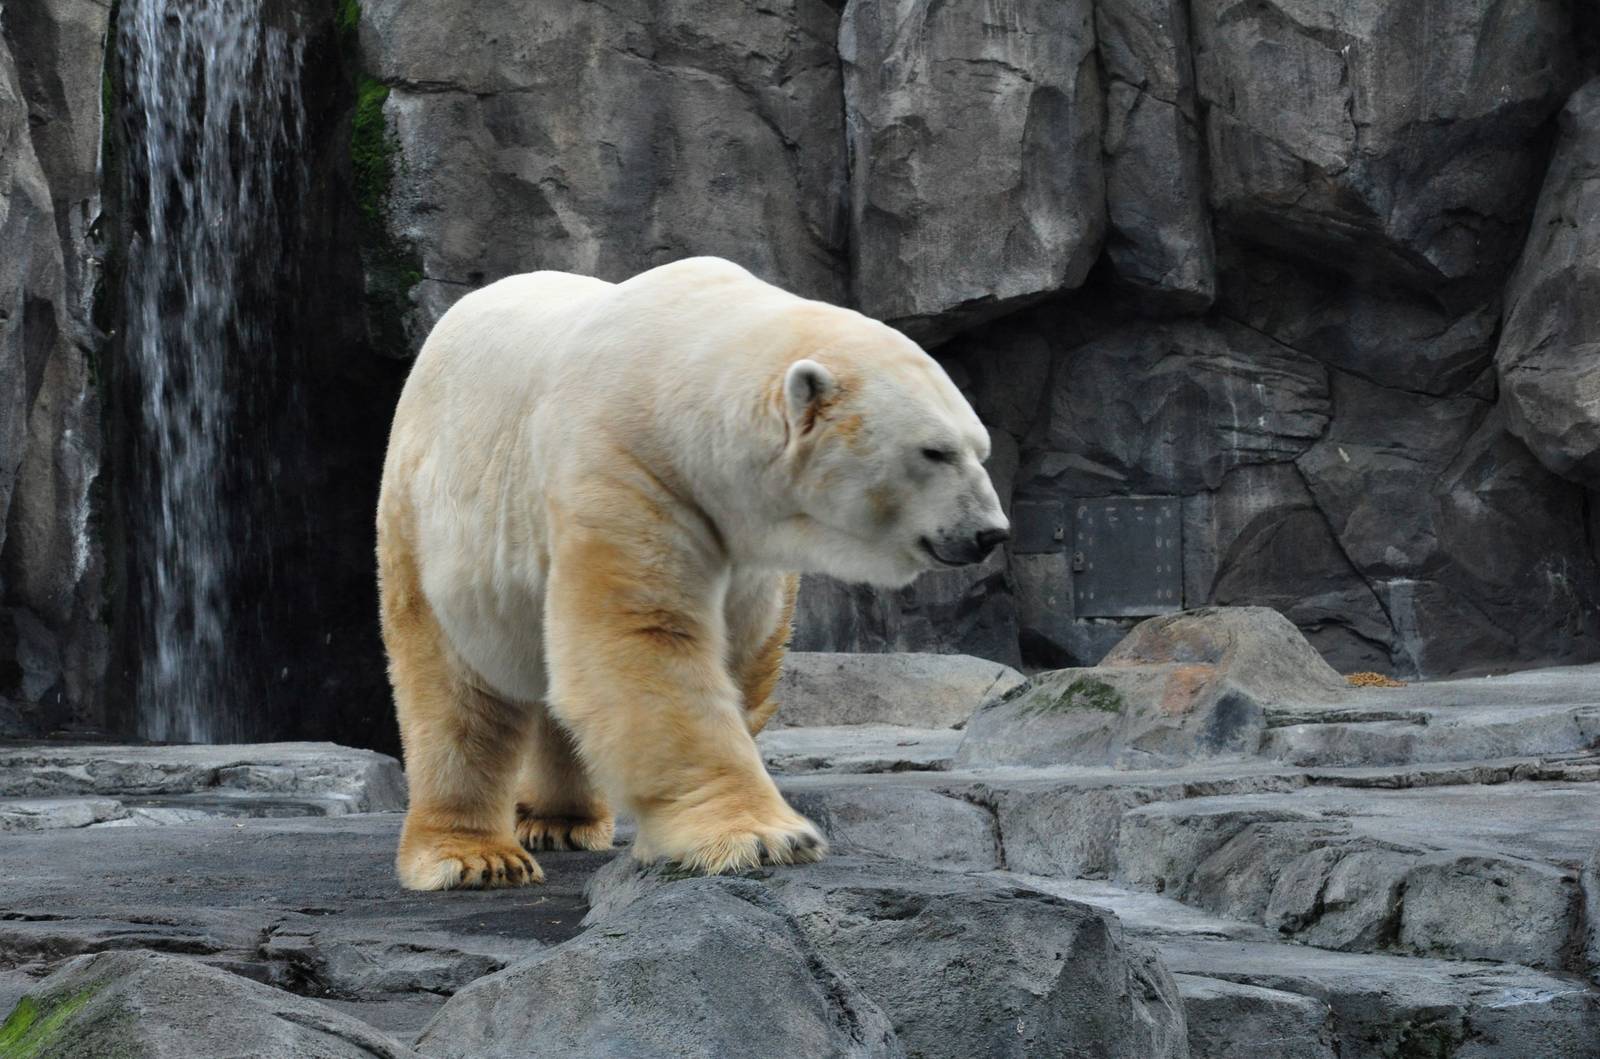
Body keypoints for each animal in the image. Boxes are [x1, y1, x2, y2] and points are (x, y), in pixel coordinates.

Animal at [376, 257, 1010, 889]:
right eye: (935, 451)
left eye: (981, 449)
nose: (990, 532)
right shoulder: (624, 463)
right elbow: (644, 639)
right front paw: (765, 837)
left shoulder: (746, 544)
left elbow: (743, 651)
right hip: (430, 512)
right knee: (455, 690)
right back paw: (476, 856)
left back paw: (560, 821)